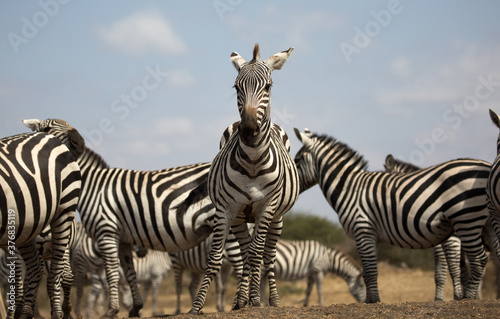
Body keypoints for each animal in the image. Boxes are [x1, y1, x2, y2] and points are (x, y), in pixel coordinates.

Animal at [23, 119, 219, 318]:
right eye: (47, 128)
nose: (79, 143)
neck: (92, 185)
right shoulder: (123, 239)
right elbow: (129, 272)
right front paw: (135, 307)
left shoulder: (106, 231)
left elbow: (112, 273)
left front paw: (111, 310)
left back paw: (199, 307)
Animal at [188, 44, 298, 316]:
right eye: (236, 87)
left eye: (268, 87)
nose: (247, 130)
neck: (253, 163)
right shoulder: (225, 210)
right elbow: (216, 258)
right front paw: (197, 306)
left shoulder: (267, 208)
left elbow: (258, 254)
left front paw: (257, 301)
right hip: (240, 218)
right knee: (245, 252)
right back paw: (241, 300)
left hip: (277, 218)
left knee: (267, 256)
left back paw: (269, 300)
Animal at [294, 129, 490, 304]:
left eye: (297, 160)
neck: (350, 188)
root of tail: (486, 165)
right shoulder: (370, 235)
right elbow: (368, 271)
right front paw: (370, 301)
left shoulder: (363, 229)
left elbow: (370, 272)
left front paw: (374, 302)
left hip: (466, 219)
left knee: (478, 259)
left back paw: (468, 298)